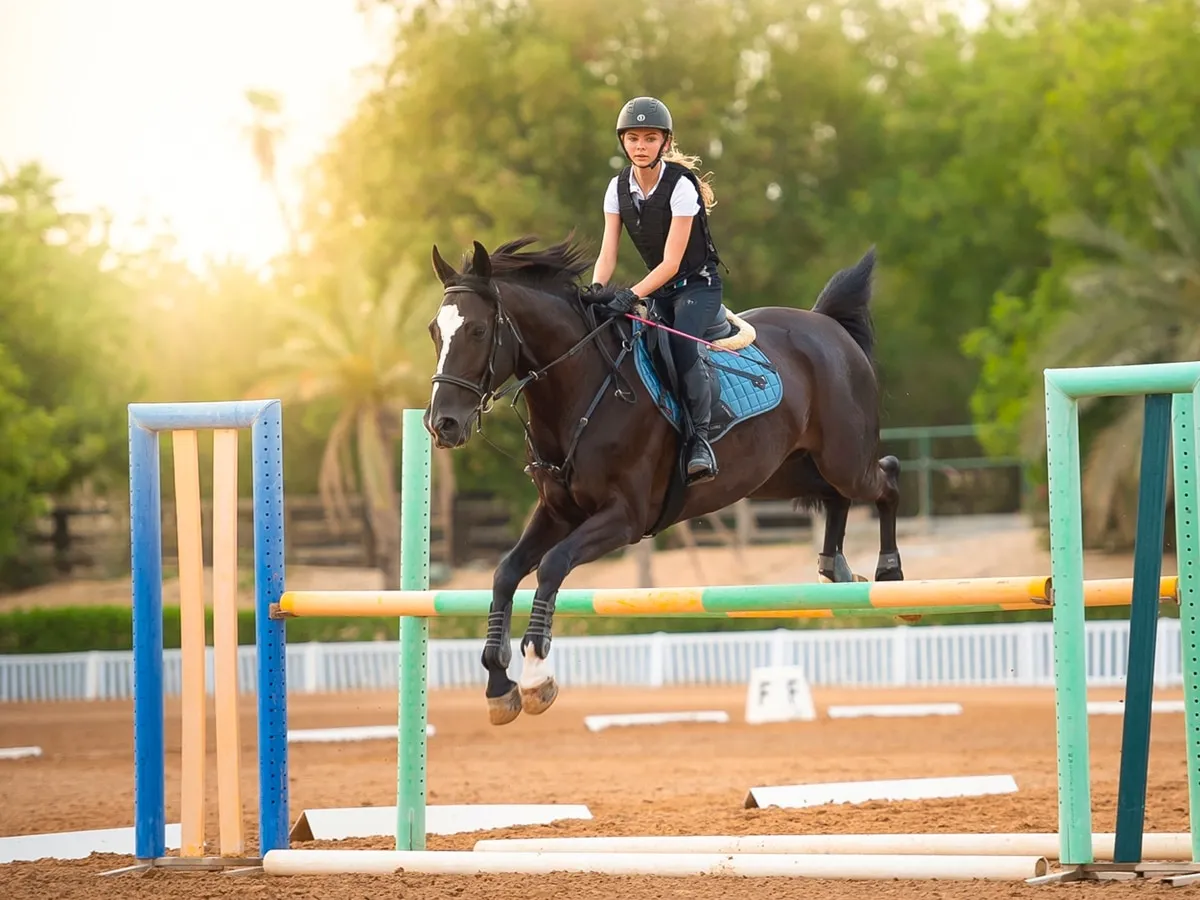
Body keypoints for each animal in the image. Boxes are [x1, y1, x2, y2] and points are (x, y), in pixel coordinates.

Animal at [423, 235, 902, 725]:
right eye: (434, 332)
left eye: (477, 331)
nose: (442, 425)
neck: (582, 389)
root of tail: (827, 324)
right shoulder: (558, 513)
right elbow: (505, 572)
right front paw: (499, 685)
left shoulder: (625, 518)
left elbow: (552, 565)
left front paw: (537, 674)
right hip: (784, 473)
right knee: (837, 495)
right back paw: (834, 567)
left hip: (843, 459)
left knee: (887, 477)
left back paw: (889, 571)